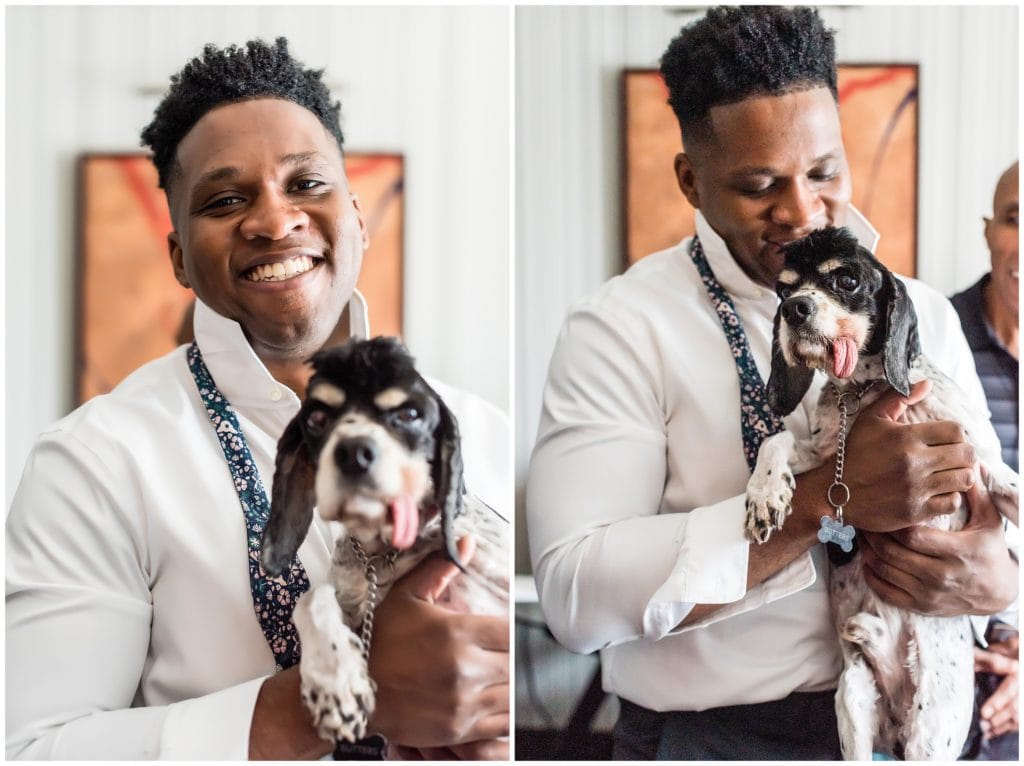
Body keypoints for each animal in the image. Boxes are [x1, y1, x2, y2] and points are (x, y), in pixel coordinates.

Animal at [260, 339, 507, 749]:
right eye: (317, 419)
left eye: (409, 413)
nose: (353, 452)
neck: (381, 553)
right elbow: (310, 600)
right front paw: (335, 684)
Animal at [745, 227, 1015, 761]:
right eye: (784, 290)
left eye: (847, 280)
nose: (795, 310)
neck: (863, 391)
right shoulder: (824, 453)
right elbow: (776, 441)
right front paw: (765, 493)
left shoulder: (980, 464)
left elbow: (1012, 488)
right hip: (854, 702)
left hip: (932, 729)